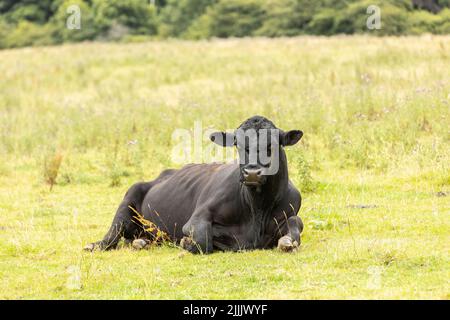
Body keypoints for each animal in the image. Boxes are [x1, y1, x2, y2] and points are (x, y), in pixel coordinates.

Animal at [85, 116, 302, 254]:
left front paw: (288, 242)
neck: (257, 207)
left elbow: (295, 224)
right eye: (237, 144)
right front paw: (186, 242)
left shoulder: (290, 213)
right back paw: (95, 245)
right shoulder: (197, 217)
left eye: (272, 144)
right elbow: (202, 240)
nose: (252, 173)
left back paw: (142, 242)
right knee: (113, 235)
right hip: (128, 198)